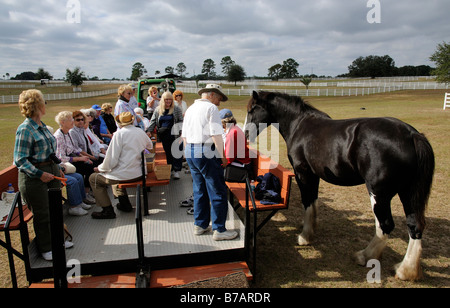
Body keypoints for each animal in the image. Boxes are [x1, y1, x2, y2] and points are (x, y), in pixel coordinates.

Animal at [246, 90, 436, 280]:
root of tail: (411, 135)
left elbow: (307, 200)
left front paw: (305, 237)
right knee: (414, 226)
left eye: (252, 109)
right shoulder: (314, 175)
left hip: (379, 194)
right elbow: (313, 201)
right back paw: (405, 270)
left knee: (385, 225)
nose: (246, 134)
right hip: (407, 193)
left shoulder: (303, 173)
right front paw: (309, 226)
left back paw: (365, 256)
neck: (299, 124)